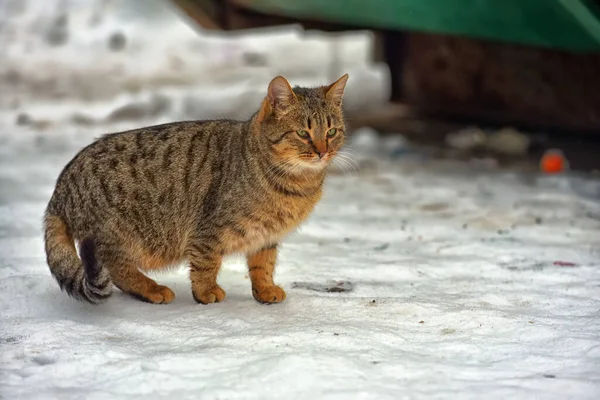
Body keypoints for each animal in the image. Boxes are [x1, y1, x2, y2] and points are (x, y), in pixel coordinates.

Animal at [42, 75, 350, 304]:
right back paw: (152, 289)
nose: (322, 151)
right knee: (117, 268)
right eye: (303, 133)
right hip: (121, 235)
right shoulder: (208, 230)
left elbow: (263, 265)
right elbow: (206, 262)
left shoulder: (266, 236)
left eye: (332, 131)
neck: (296, 185)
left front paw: (264, 289)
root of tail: (60, 188)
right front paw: (206, 291)